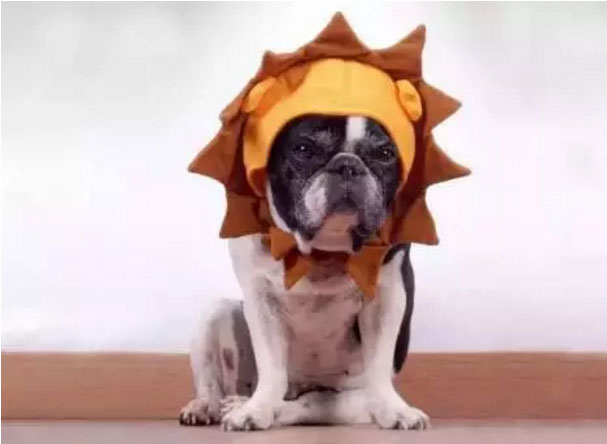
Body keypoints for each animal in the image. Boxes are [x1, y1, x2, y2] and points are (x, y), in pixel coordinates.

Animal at [179, 114, 429, 431]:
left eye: (385, 154)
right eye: (303, 149)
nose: (348, 165)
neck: (324, 250)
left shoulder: (387, 296)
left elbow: (380, 361)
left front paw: (394, 409)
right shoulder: (260, 297)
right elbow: (271, 367)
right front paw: (256, 409)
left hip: (350, 399)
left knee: (312, 402)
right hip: (216, 313)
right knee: (213, 380)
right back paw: (208, 405)